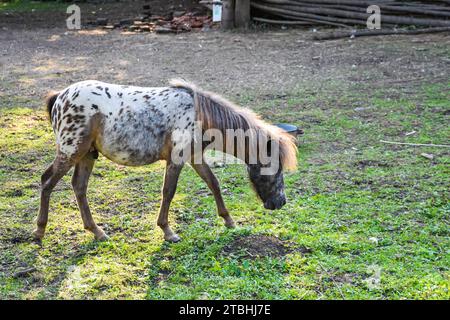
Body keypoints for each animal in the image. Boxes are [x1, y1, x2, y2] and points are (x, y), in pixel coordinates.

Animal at [34, 79, 296, 241]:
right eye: (275, 169)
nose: (280, 202)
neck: (199, 115)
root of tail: (60, 97)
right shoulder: (176, 159)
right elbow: (169, 192)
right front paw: (168, 232)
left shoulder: (195, 157)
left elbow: (213, 184)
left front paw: (229, 221)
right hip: (71, 152)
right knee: (47, 182)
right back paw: (39, 231)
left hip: (86, 155)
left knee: (79, 187)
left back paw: (97, 232)